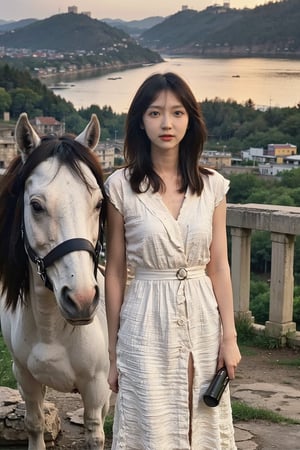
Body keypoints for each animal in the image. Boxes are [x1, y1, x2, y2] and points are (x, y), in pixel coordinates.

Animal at [0, 113, 110, 450]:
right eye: (36, 205)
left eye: (99, 203)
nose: (83, 299)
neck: (52, 330)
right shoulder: (25, 377)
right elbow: (34, 422)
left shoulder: (95, 387)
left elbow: (95, 432)